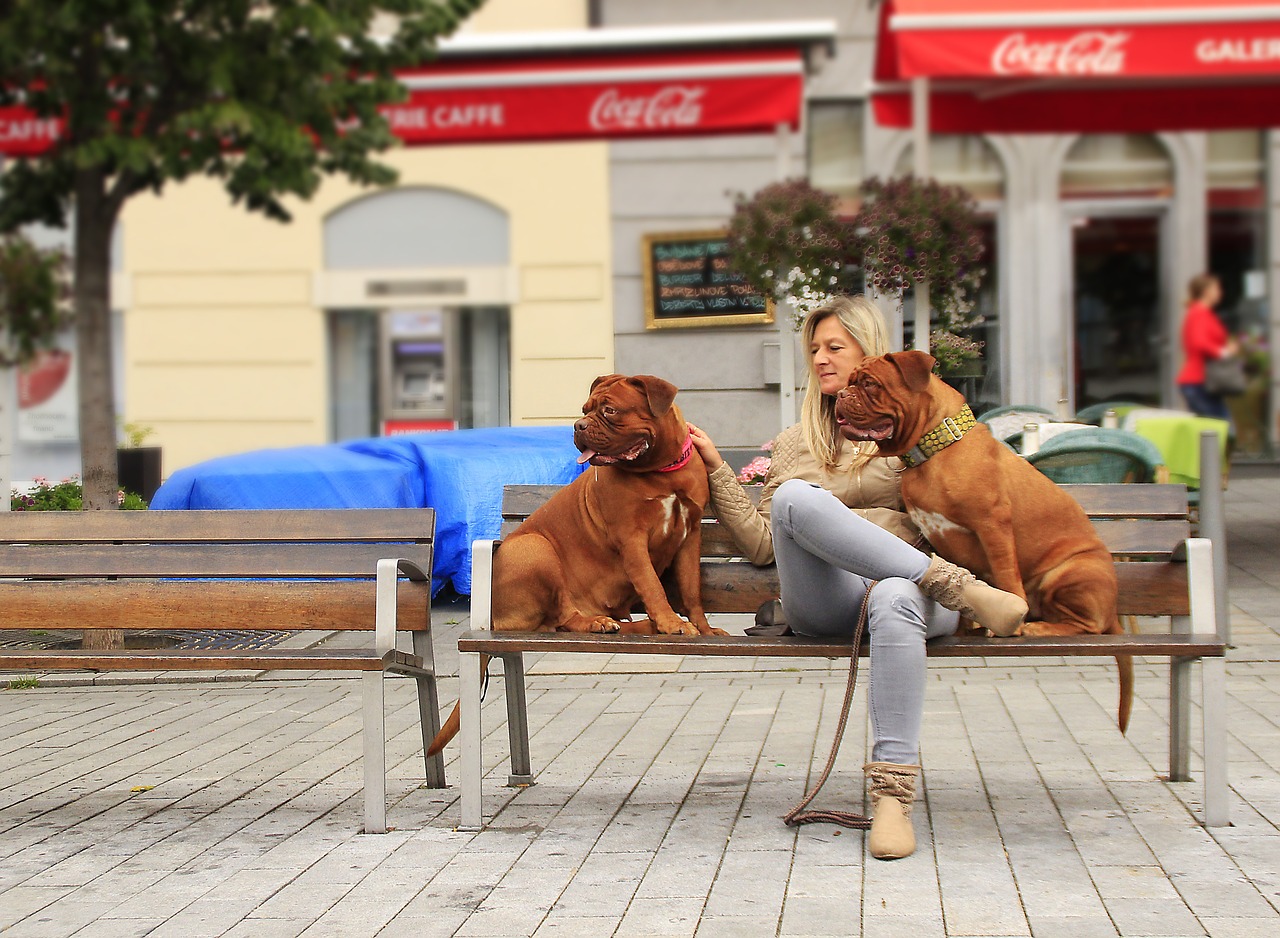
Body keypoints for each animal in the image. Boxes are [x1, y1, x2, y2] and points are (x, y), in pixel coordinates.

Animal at [427, 373, 721, 752]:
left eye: (610, 410)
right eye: (585, 409)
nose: (578, 426)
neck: (662, 471)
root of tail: (492, 614)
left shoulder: (691, 534)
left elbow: (691, 588)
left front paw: (704, 628)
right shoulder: (632, 539)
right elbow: (653, 586)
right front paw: (672, 623)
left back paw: (634, 625)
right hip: (537, 548)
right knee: (565, 617)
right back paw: (604, 623)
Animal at [834, 350, 1136, 731]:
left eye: (870, 384)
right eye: (849, 382)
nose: (841, 395)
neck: (932, 451)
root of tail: (1112, 610)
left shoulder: (993, 525)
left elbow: (1006, 575)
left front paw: (1010, 620)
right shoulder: (942, 541)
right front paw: (966, 627)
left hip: (1069, 572)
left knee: (1090, 626)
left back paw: (1036, 626)